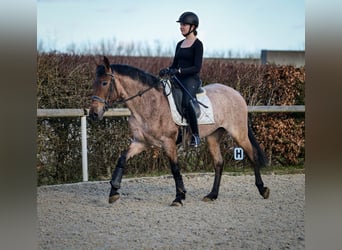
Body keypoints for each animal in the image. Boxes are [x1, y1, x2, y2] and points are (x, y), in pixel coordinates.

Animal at [89, 57, 270, 207]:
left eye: (104, 83)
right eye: (94, 83)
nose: (93, 114)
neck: (148, 104)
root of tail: (236, 93)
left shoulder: (168, 143)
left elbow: (175, 169)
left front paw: (179, 197)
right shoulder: (140, 142)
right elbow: (122, 159)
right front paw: (114, 191)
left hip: (238, 133)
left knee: (252, 155)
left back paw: (263, 190)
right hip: (213, 136)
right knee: (219, 163)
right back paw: (212, 195)